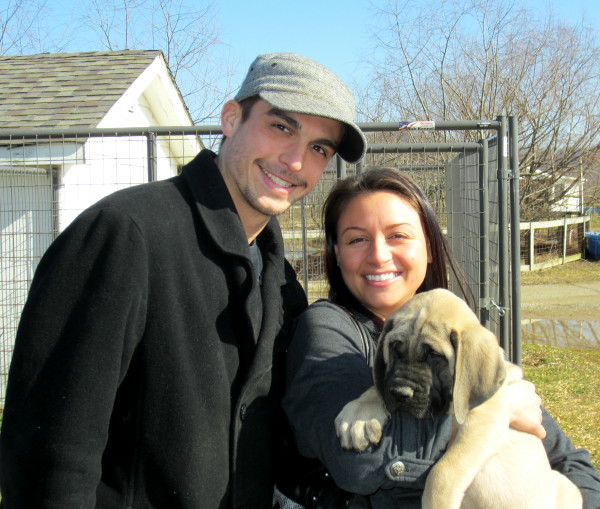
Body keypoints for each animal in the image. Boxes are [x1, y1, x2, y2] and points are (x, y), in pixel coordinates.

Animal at [336, 288, 584, 506]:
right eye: (395, 348)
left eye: (434, 355)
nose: (400, 393)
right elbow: (378, 386)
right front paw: (358, 417)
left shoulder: (484, 423)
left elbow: (442, 471)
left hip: (567, 487)